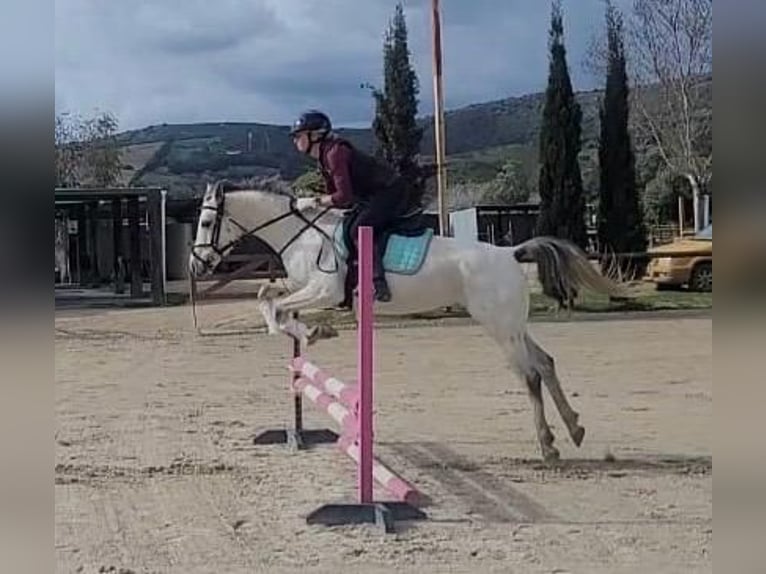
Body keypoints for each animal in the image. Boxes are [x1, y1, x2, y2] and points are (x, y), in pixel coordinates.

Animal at [189, 179, 628, 462]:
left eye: (207, 223)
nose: (197, 264)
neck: (303, 234)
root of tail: (510, 252)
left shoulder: (325, 289)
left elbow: (278, 309)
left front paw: (314, 331)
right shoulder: (304, 288)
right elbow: (268, 301)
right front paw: (310, 330)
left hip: (500, 329)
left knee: (531, 376)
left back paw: (548, 445)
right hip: (513, 327)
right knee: (546, 363)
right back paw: (574, 429)